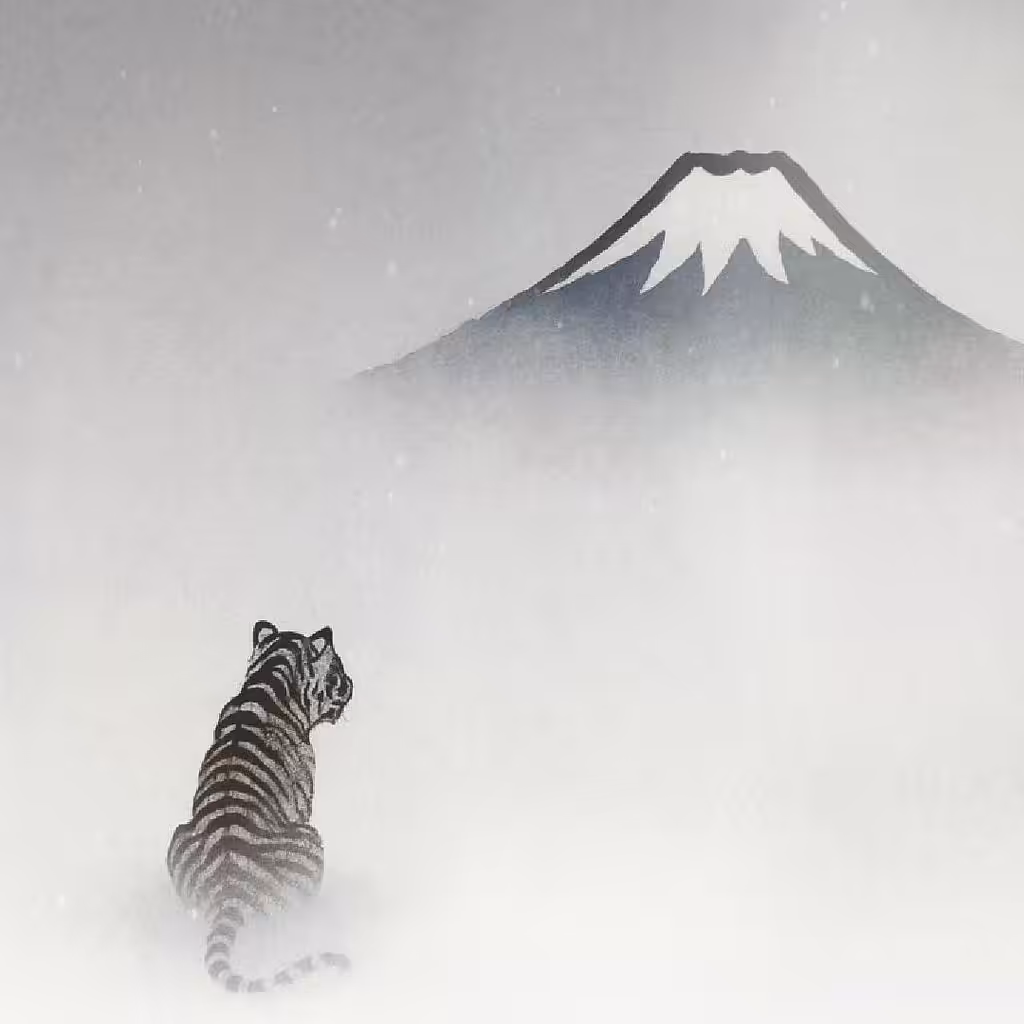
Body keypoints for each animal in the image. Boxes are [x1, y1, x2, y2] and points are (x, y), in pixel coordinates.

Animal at [167, 619, 354, 993]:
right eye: (338, 672)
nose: (353, 685)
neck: (269, 678)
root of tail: (228, 889)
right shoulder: (303, 800)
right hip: (311, 842)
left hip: (177, 838)